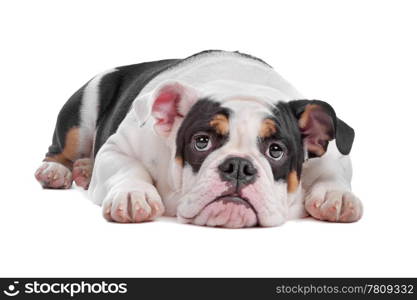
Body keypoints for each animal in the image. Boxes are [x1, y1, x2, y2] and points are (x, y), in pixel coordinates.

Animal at [35, 50, 360, 227]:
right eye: (201, 142)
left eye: (276, 150)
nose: (239, 166)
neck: (241, 85)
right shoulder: (118, 147)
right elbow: (129, 168)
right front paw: (133, 194)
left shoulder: (334, 153)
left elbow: (334, 171)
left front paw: (336, 196)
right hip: (81, 115)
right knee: (61, 148)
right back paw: (57, 170)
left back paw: (83, 170)